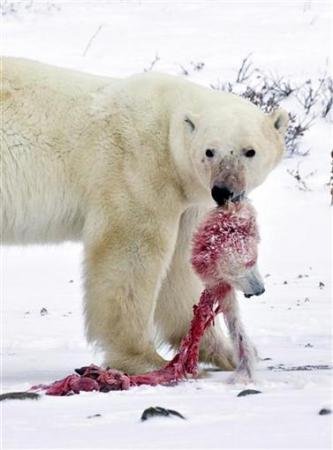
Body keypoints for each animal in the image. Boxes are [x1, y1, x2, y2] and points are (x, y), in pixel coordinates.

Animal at [0, 57, 286, 372]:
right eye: (209, 151)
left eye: (250, 151)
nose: (224, 191)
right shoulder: (138, 169)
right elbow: (130, 254)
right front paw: (146, 359)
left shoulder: (187, 201)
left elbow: (180, 269)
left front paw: (224, 351)